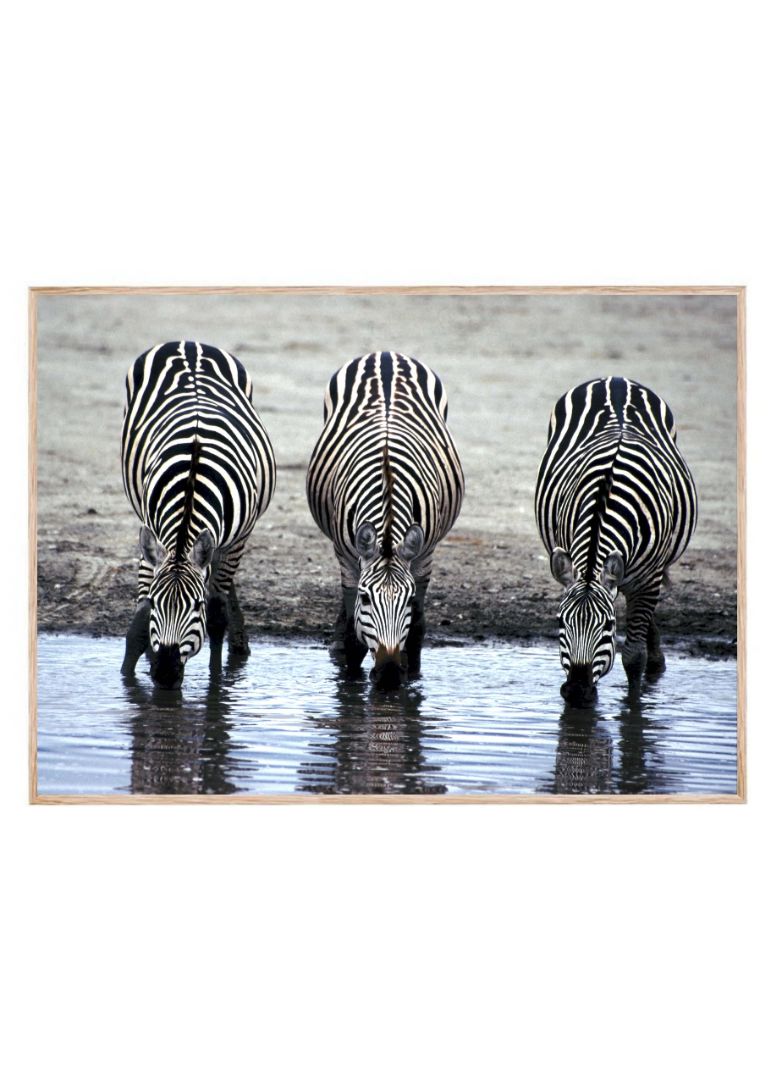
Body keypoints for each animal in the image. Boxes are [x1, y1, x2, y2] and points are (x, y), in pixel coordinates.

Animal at [120, 341, 276, 688]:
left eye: (196, 606)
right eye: (156, 603)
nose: (165, 673)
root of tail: (189, 343)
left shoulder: (237, 541)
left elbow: (217, 616)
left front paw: (216, 685)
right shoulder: (151, 531)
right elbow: (138, 620)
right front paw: (131, 676)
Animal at [307, 351, 464, 690]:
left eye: (407, 600)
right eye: (366, 599)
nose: (390, 673)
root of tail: (386, 354)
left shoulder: (424, 554)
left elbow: (417, 627)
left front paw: (411, 674)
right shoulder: (346, 555)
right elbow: (354, 633)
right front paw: (351, 677)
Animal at [535, 376, 697, 705]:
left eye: (609, 626)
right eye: (560, 622)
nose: (577, 692)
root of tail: (615, 379)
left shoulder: (648, 580)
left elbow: (633, 657)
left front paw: (633, 706)